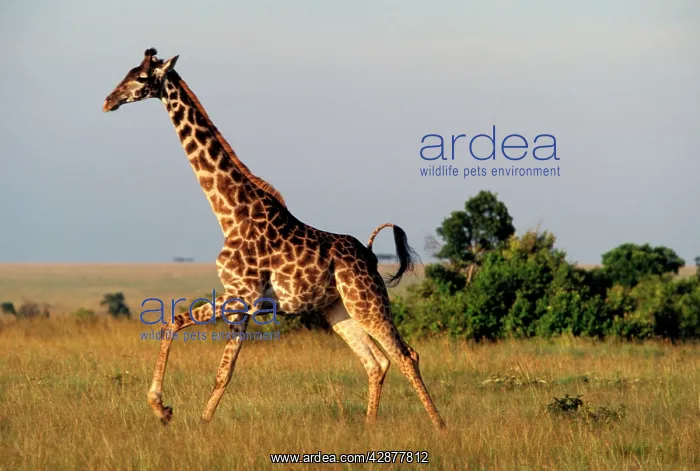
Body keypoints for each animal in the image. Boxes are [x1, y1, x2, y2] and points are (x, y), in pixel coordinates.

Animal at [103, 48, 446, 430]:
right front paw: (170, 411)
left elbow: (217, 364)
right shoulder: (238, 296)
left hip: (366, 300)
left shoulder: (243, 295)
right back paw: (370, 426)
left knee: (406, 354)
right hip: (338, 309)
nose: (108, 101)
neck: (230, 215)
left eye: (141, 78)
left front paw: (182, 415)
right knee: (376, 361)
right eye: (128, 72)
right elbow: (181, 331)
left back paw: (439, 426)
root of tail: (370, 254)